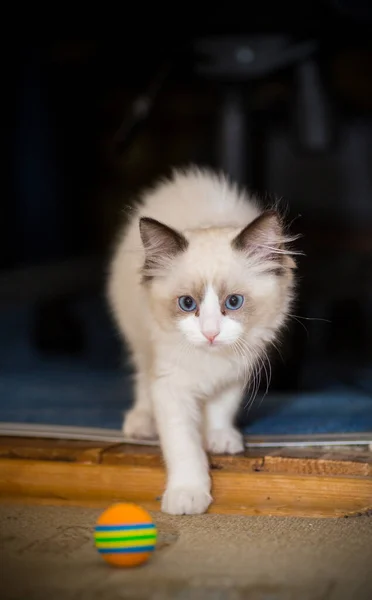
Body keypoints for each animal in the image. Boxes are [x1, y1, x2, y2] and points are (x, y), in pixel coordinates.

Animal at [107, 168, 296, 516]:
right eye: (187, 304)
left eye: (233, 302)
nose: (210, 333)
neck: (211, 363)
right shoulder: (171, 387)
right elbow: (185, 448)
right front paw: (188, 495)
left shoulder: (237, 371)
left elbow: (222, 407)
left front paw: (220, 438)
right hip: (139, 339)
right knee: (141, 377)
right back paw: (141, 421)